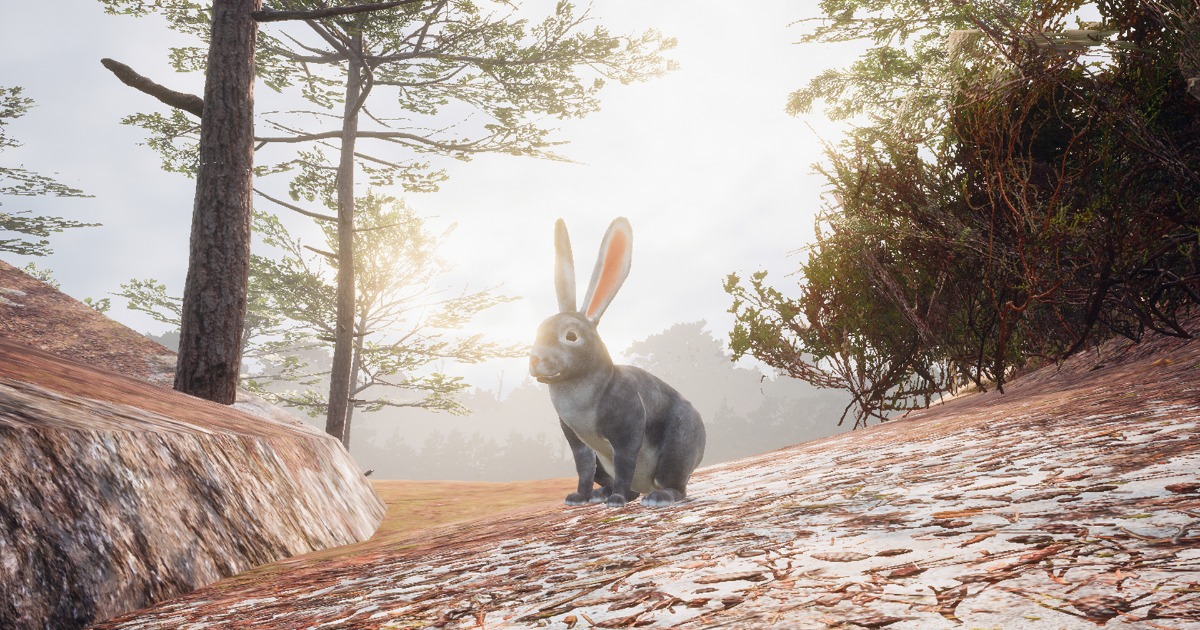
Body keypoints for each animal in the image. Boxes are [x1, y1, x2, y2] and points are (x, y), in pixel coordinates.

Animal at [529, 217, 706, 508]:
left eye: (571, 336)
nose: (535, 360)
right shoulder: (576, 439)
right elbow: (583, 467)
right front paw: (578, 498)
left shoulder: (627, 425)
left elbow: (625, 461)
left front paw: (617, 500)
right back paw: (601, 495)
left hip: (679, 447)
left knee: (675, 485)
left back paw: (656, 497)